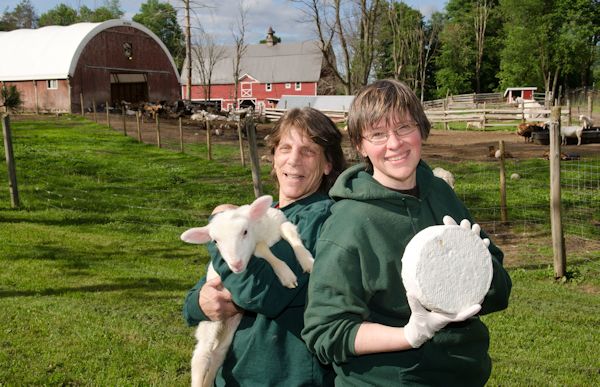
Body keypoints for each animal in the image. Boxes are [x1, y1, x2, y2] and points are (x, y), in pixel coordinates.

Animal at [180, 196, 314, 387]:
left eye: (245, 232)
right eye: (215, 241)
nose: (235, 265)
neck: (263, 232)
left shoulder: (280, 222)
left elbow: (289, 231)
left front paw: (307, 261)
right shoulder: (257, 247)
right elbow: (262, 248)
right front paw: (286, 274)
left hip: (232, 324)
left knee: (219, 353)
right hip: (209, 321)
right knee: (201, 355)